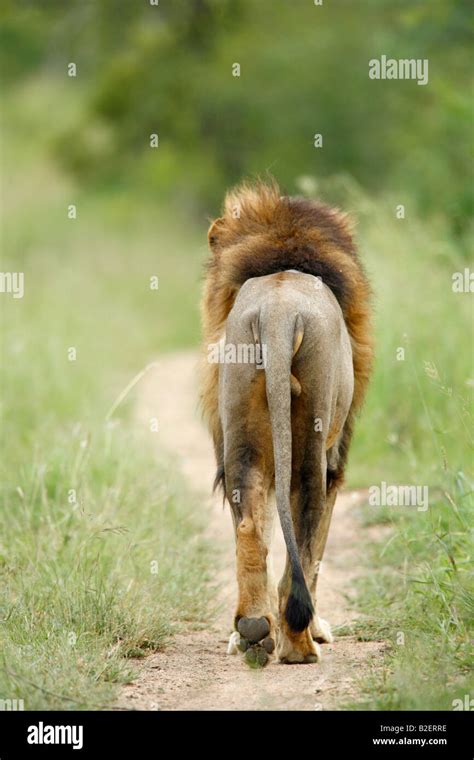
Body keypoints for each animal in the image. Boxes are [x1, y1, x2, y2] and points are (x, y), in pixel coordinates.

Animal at [198, 180, 372, 664]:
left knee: (249, 527)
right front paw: (319, 628)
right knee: (307, 527)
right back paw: (299, 643)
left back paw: (254, 631)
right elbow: (315, 551)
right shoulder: (338, 457)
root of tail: (279, 311)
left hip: (241, 439)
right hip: (315, 441)